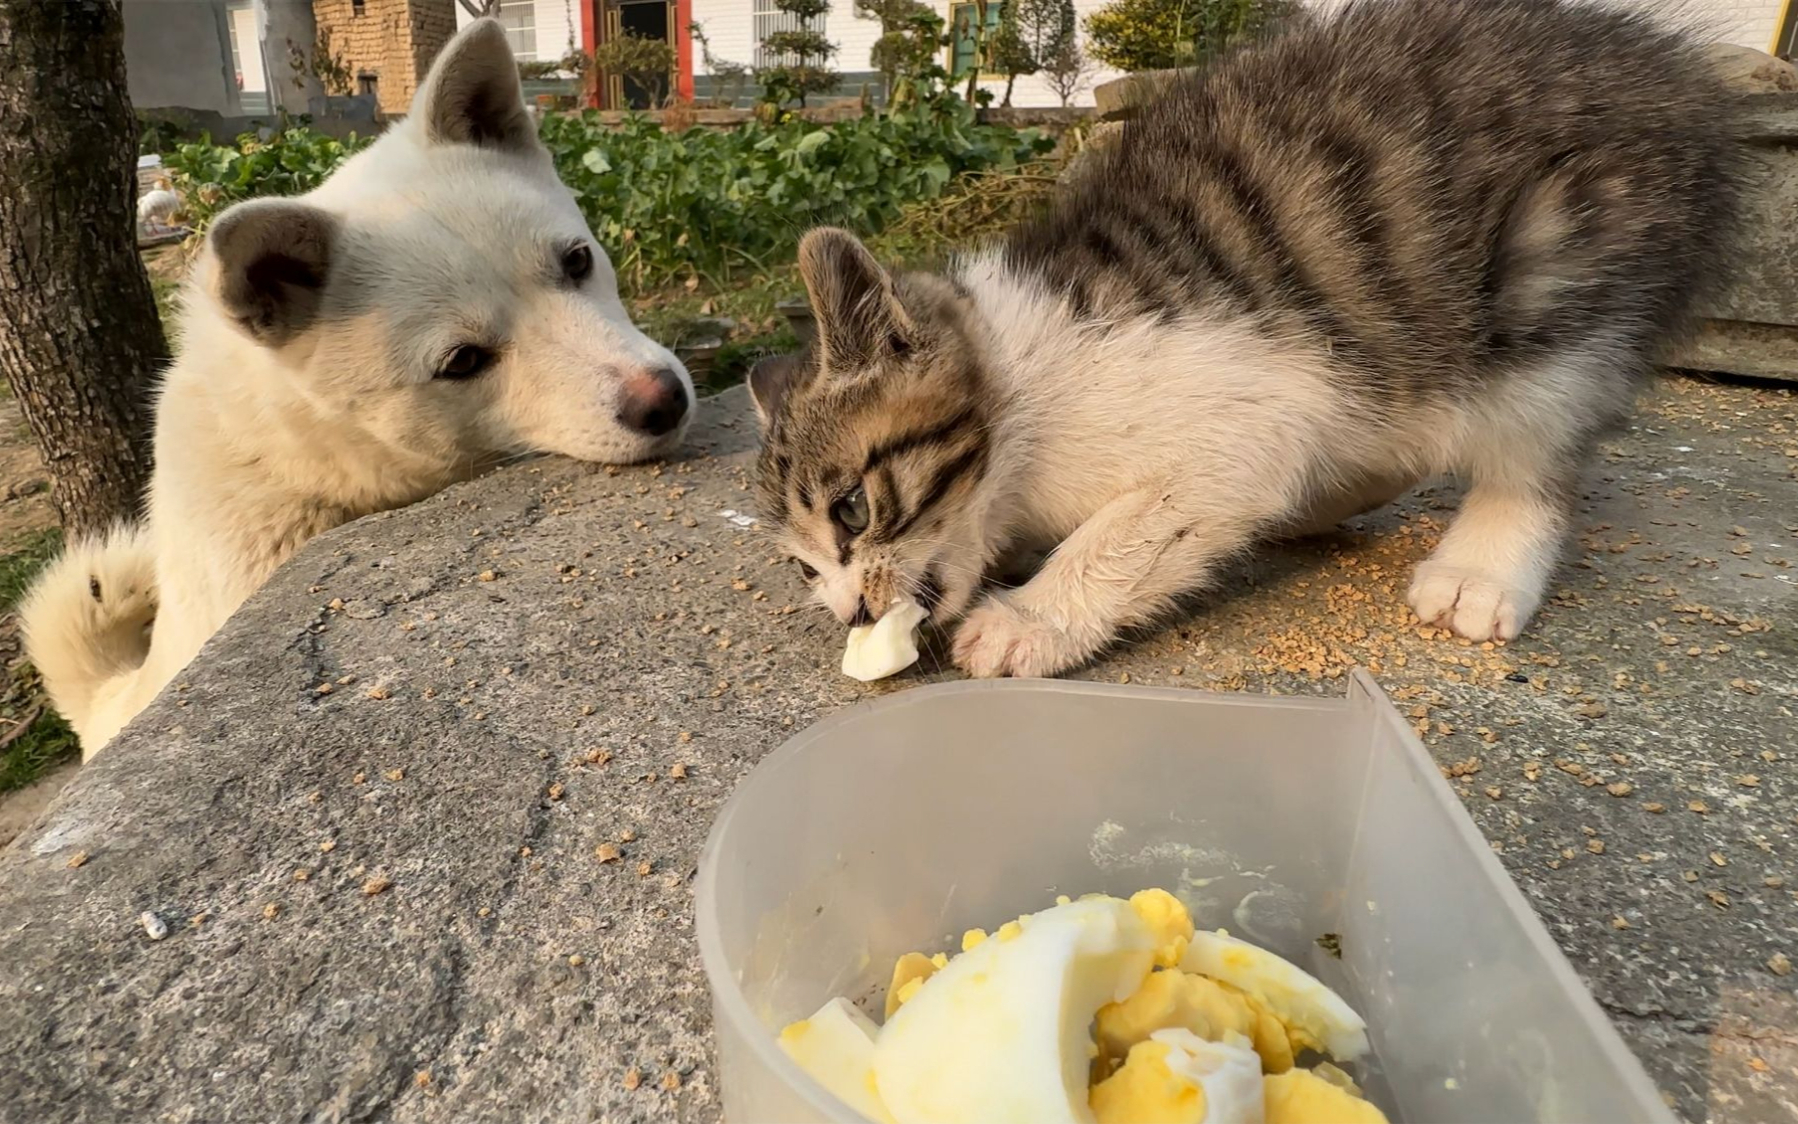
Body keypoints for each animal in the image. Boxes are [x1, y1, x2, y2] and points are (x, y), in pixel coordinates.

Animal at [748, 0, 1745, 678]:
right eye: (801, 565)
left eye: (851, 510)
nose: (847, 613)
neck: (1025, 394)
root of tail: (1673, 73)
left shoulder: (1249, 403)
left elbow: (1144, 522)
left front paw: (1034, 617)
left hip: (1556, 276)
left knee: (1536, 442)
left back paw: (1483, 564)